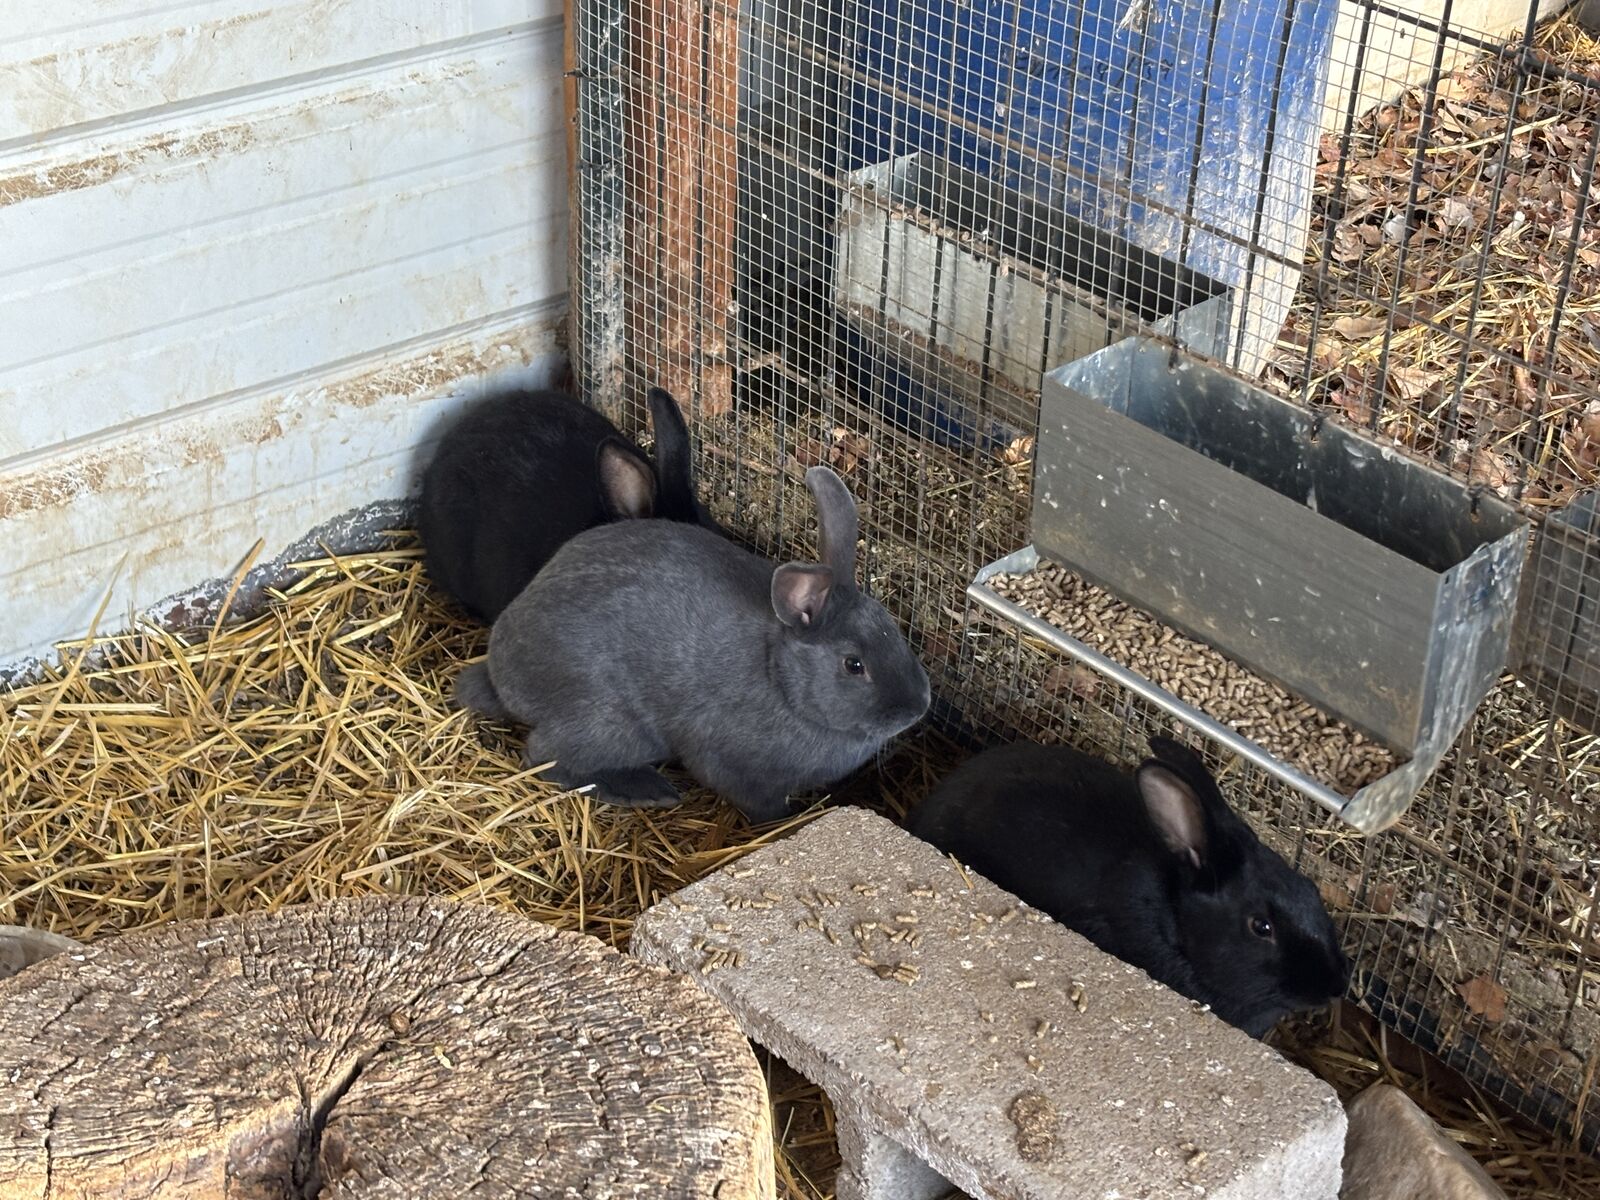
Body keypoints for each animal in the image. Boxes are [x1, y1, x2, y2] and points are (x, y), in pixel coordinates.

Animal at [454, 465, 932, 824]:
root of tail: (501, 676)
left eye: (892, 628)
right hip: (614, 726)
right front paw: (786, 822)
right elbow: (761, 804)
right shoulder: (732, 764)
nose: (918, 707)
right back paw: (645, 791)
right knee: (544, 756)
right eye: (854, 665)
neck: (781, 680)